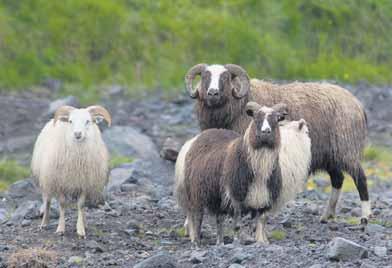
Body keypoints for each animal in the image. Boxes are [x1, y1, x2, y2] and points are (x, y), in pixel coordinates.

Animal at [31, 105, 111, 238]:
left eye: (88, 121)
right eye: (70, 121)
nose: (77, 134)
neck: (77, 161)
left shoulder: (84, 183)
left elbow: (81, 205)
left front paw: (81, 229)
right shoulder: (59, 182)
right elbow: (62, 204)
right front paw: (60, 228)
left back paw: (85, 223)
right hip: (46, 179)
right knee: (47, 201)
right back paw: (44, 223)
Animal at [185, 64, 370, 224]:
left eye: (226, 77)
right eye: (205, 76)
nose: (213, 93)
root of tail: (357, 104)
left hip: (346, 148)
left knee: (360, 178)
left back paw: (365, 216)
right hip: (331, 155)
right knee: (338, 180)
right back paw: (327, 215)